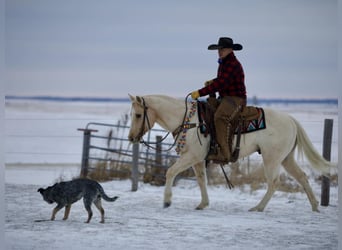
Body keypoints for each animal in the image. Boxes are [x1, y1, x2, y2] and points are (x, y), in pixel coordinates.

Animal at [127, 94, 332, 212]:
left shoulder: (191, 157)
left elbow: (170, 172)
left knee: (274, 182)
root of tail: (290, 119)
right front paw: (203, 204)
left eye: (138, 115)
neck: (188, 120)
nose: (131, 137)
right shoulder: (198, 160)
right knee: (302, 176)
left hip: (271, 159)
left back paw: (258, 207)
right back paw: (315, 206)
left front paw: (167, 201)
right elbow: (202, 180)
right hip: (286, 159)